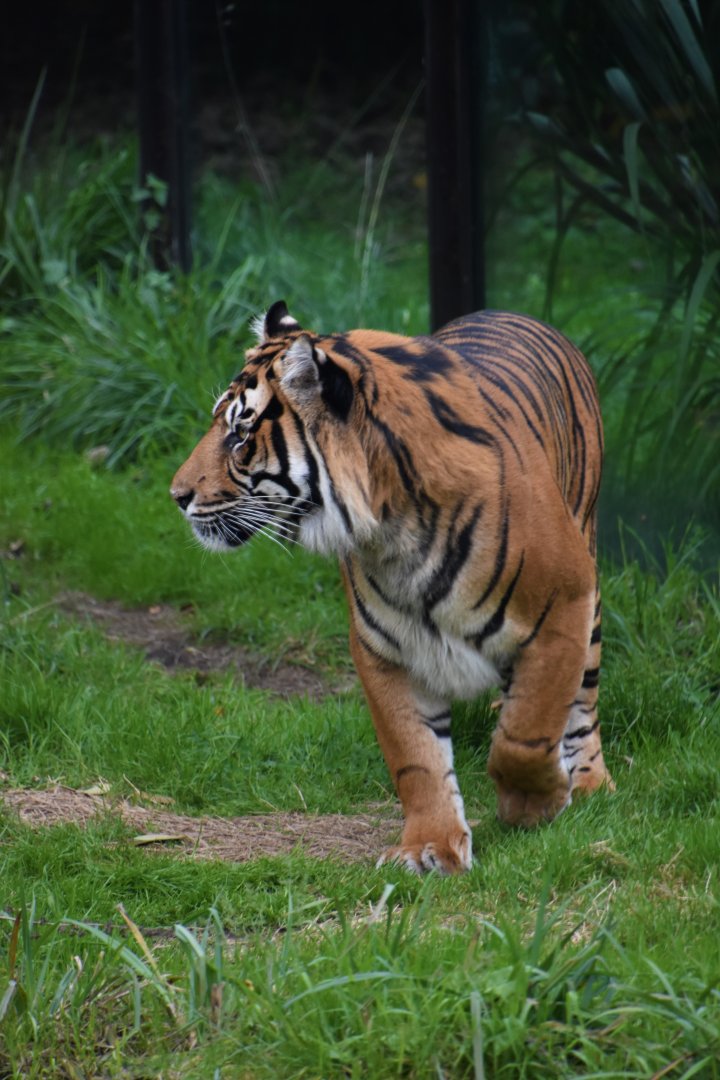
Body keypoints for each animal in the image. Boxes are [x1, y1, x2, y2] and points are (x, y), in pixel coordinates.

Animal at [171, 300, 613, 874]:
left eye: (240, 436)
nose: (176, 495)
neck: (394, 526)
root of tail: (515, 312)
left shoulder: (561, 607)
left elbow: (527, 733)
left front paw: (533, 806)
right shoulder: (385, 646)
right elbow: (416, 757)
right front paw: (429, 847)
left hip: (589, 587)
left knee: (582, 701)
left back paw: (591, 783)